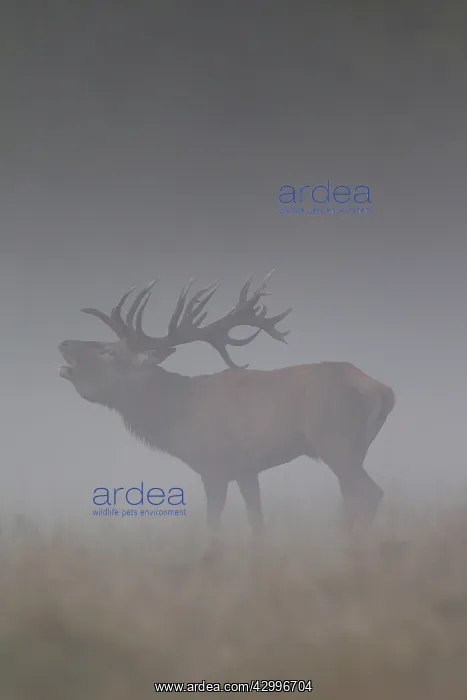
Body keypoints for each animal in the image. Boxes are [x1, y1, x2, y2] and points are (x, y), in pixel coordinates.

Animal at [58, 272, 395, 554]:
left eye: (109, 351)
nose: (64, 343)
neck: (176, 415)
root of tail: (384, 391)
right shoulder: (247, 468)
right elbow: (257, 521)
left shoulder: (214, 465)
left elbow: (213, 525)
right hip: (355, 448)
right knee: (351, 499)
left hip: (335, 440)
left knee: (370, 494)